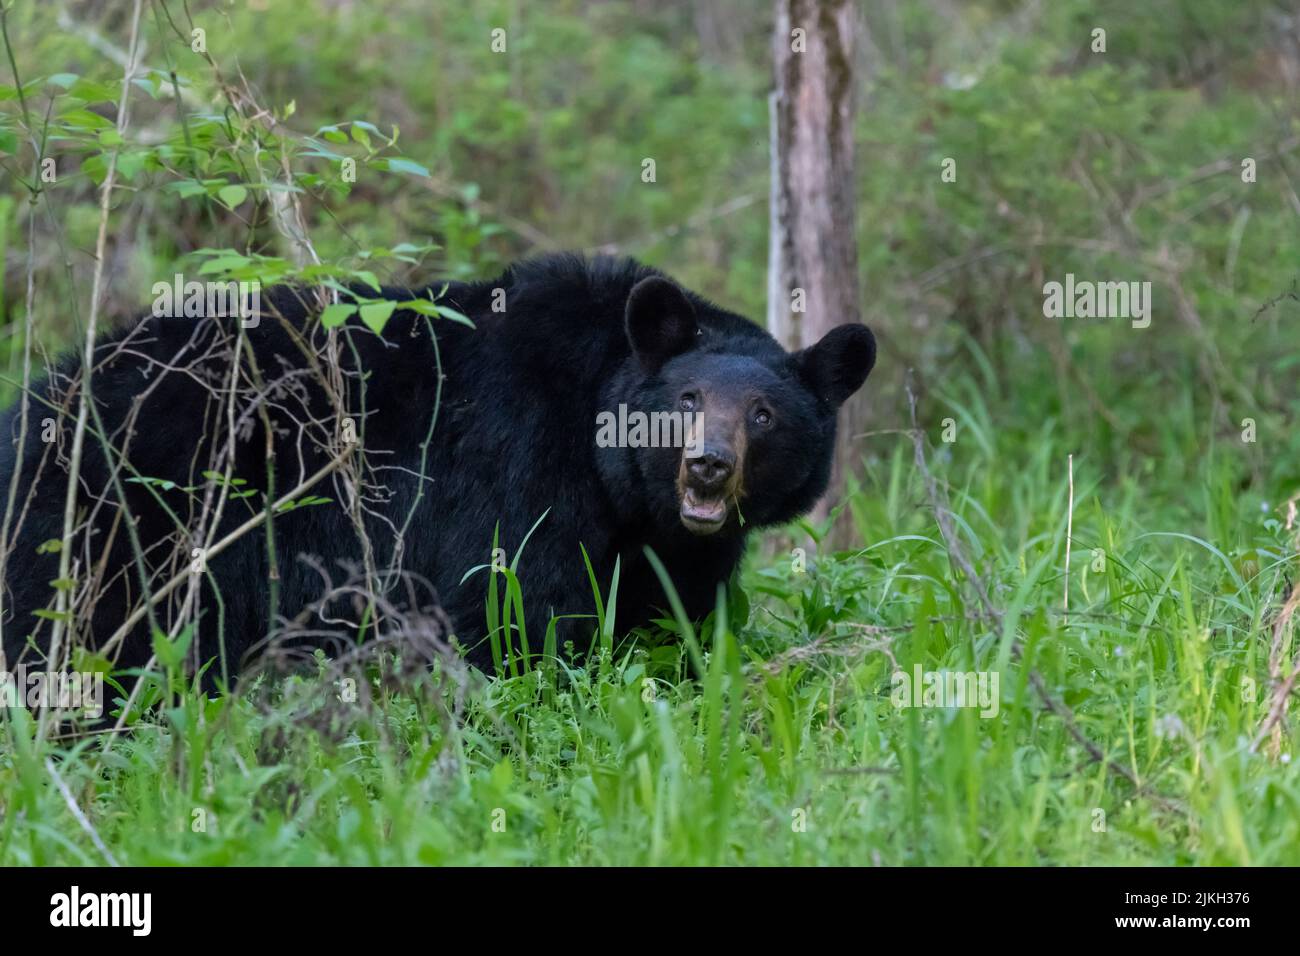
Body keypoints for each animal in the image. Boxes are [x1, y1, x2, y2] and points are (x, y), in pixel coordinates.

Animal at [0, 256, 878, 681]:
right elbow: (513, 605)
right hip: (121, 518)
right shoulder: (515, 462)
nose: (706, 466)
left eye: (763, 414)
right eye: (688, 396)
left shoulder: (676, 544)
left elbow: (672, 620)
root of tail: (37, 402)